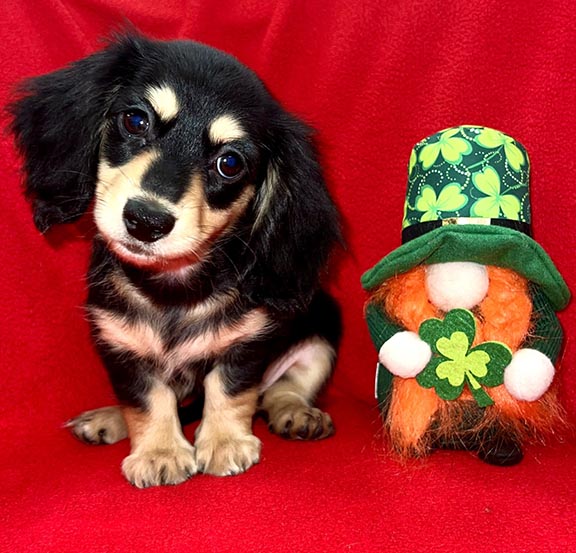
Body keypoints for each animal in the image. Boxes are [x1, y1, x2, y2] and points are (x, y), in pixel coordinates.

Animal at [10, 33, 342, 488]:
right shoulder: (120, 344)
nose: (146, 221)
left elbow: (230, 391)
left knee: (281, 389)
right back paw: (109, 419)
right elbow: (147, 400)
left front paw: (225, 442)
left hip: (322, 333)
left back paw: (296, 413)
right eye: (135, 121)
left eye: (230, 162)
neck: (172, 289)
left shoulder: (247, 343)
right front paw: (160, 451)